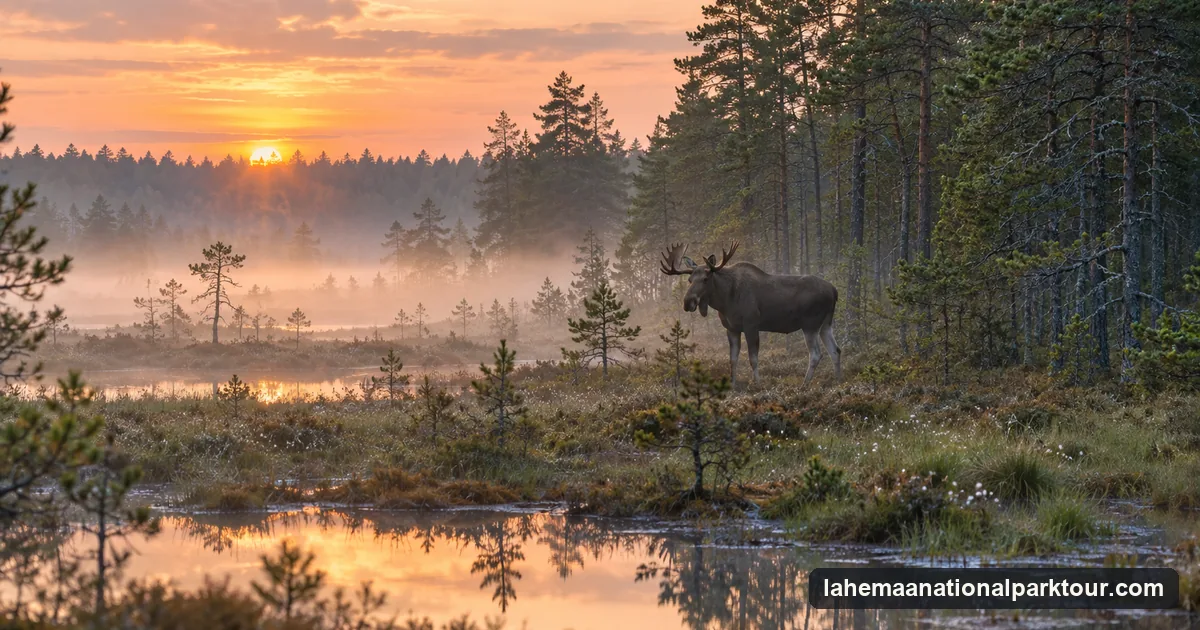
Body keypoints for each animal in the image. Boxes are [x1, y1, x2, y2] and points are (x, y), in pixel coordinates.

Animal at [660, 241, 841, 386]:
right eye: (690, 280)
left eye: (705, 279)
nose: (687, 302)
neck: (725, 300)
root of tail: (834, 290)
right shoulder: (731, 328)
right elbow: (733, 359)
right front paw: (732, 385)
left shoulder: (751, 324)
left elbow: (753, 358)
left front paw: (757, 384)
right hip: (826, 324)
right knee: (835, 350)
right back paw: (838, 381)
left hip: (810, 324)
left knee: (816, 354)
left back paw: (804, 384)